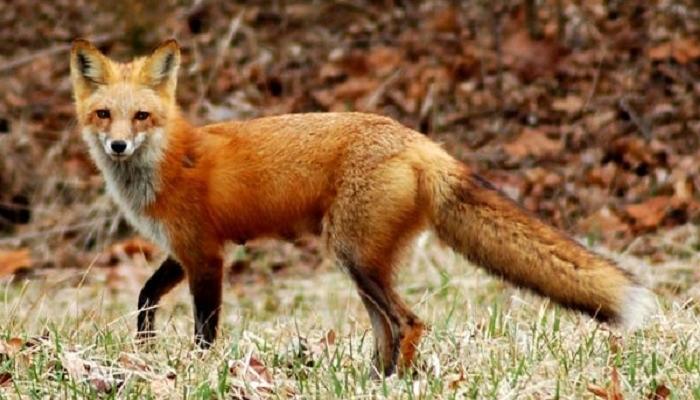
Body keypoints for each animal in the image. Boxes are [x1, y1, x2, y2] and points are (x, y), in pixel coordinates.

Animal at [69, 39, 655, 376]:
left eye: (141, 116)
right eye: (103, 115)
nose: (117, 146)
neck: (167, 162)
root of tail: (421, 142)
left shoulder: (208, 255)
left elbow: (203, 332)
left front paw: (195, 372)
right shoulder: (184, 251)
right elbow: (145, 297)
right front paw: (144, 349)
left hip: (354, 255)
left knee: (408, 322)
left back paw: (393, 383)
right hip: (362, 262)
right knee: (386, 329)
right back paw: (376, 381)